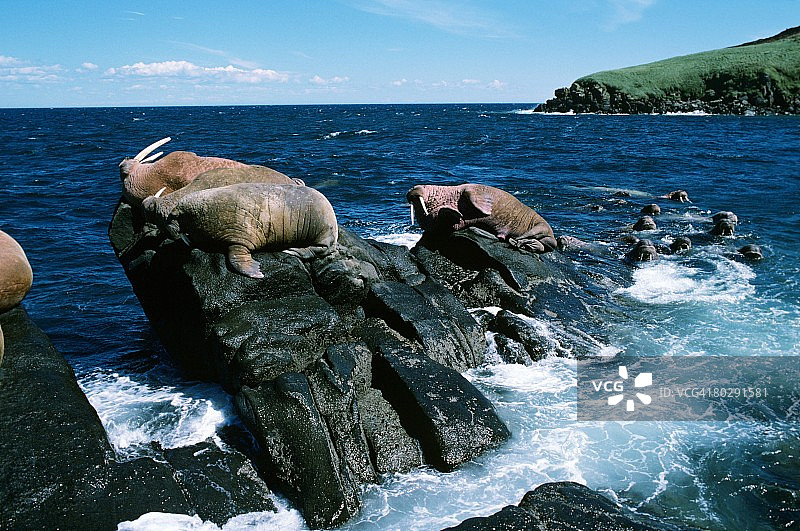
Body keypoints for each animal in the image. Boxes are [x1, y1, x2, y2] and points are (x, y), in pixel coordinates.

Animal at [157, 183, 339, 278]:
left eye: (174, 215)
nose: (168, 225)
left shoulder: (240, 235)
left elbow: (237, 256)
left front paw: (256, 273)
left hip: (325, 231)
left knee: (322, 248)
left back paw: (293, 250)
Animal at [406, 183, 557, 253]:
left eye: (423, 186)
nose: (410, 193)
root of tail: (553, 238)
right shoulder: (440, 223)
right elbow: (444, 220)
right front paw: (454, 213)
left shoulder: (470, 188)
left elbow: (472, 194)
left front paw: (486, 210)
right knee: (541, 246)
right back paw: (520, 243)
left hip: (542, 225)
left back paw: (516, 240)